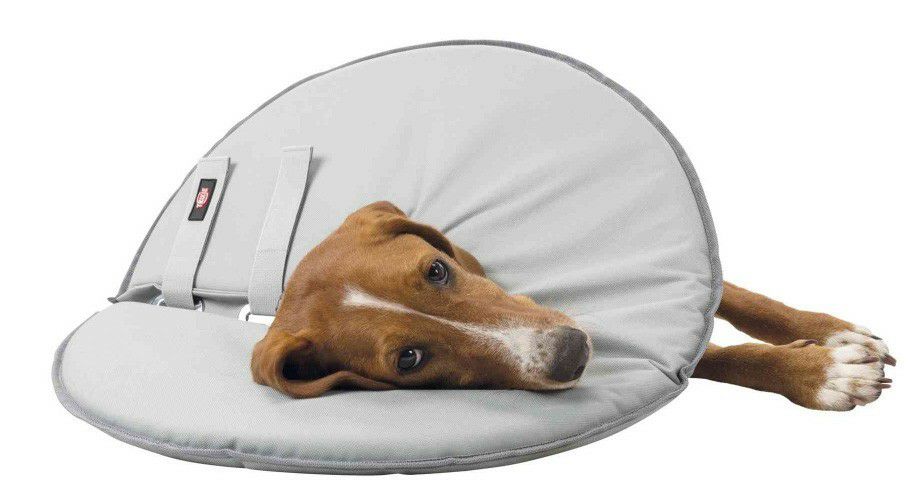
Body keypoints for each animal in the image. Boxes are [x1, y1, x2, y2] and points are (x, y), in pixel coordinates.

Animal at [252, 201, 893, 410]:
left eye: (436, 270)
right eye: (407, 359)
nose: (571, 352)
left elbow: (736, 297)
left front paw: (828, 331)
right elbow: (714, 354)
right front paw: (819, 373)